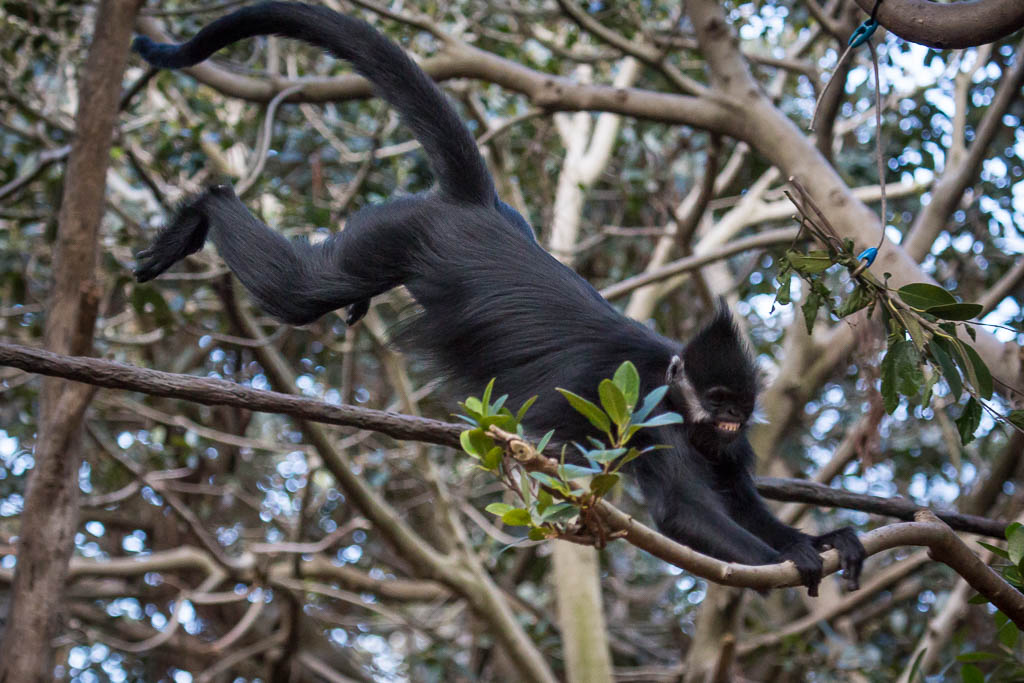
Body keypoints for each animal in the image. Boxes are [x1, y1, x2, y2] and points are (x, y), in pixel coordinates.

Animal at [132, 1, 864, 594]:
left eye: (739, 407)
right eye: (715, 400)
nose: (731, 421)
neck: (677, 378)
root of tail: (475, 208)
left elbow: (741, 501)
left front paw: (822, 540)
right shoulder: (652, 409)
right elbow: (683, 510)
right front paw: (795, 559)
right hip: (401, 232)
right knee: (306, 291)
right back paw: (202, 210)